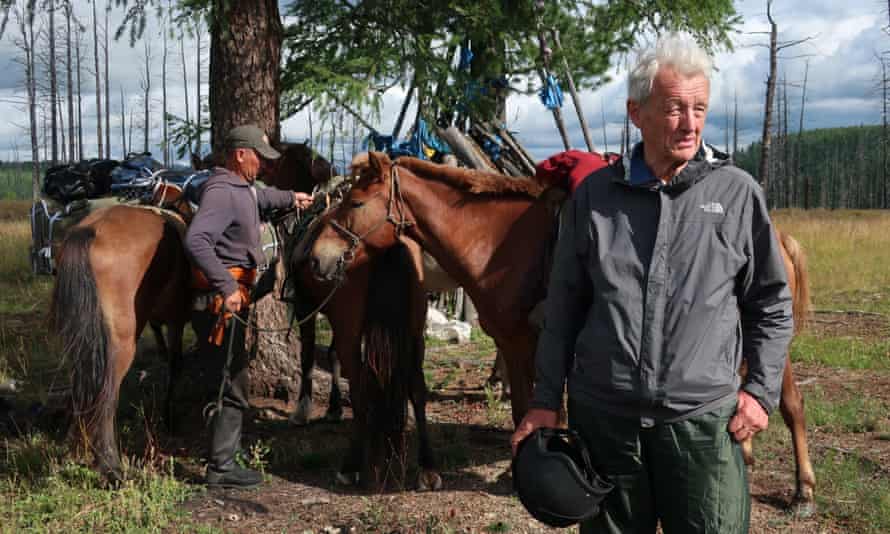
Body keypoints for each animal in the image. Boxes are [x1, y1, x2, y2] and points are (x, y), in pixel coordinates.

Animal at [308, 152, 816, 516]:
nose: (316, 257)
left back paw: (803, 491)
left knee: (790, 405)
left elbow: (522, 408)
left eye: (355, 203)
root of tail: (777, 236)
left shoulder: (518, 344)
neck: (497, 244)